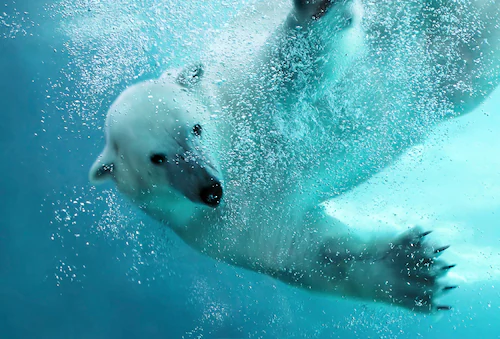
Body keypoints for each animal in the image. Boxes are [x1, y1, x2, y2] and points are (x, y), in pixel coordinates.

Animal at [88, 0, 498, 314]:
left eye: (195, 128)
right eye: (157, 159)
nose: (211, 189)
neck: (234, 153)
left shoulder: (245, 91)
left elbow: (295, 63)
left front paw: (316, 9)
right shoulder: (222, 228)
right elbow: (306, 251)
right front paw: (414, 269)